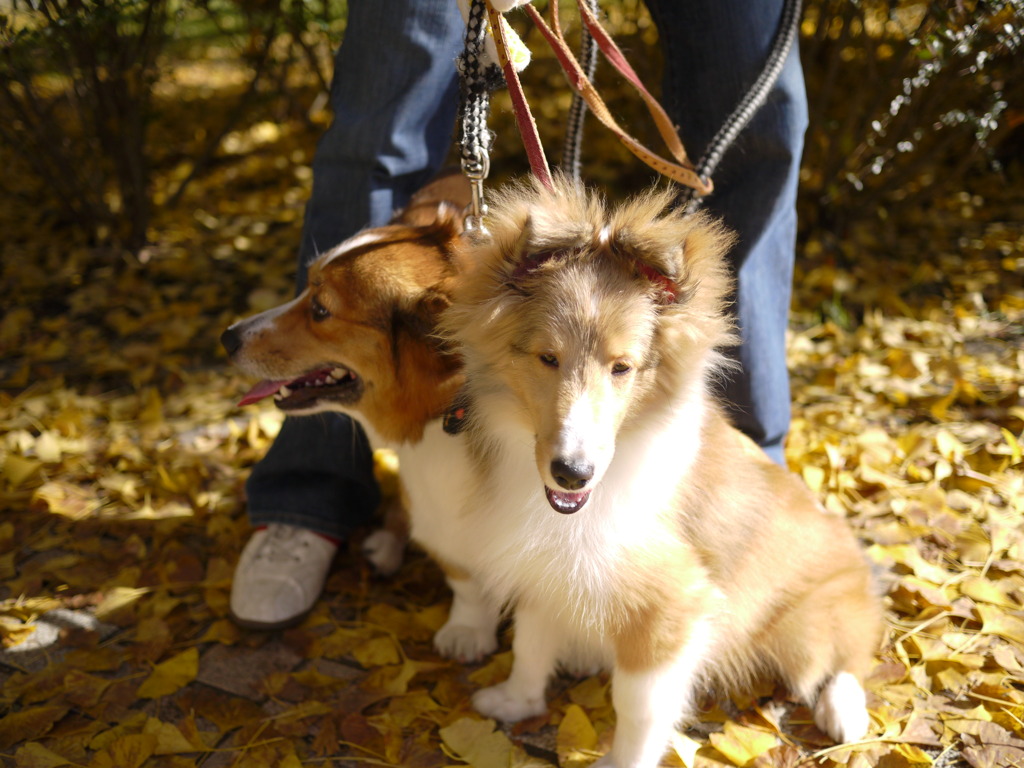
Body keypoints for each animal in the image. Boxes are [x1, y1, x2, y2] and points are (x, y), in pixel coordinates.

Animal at [436, 179, 884, 768]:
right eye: (547, 358)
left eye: (622, 367)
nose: (572, 474)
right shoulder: (543, 570)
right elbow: (529, 645)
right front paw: (515, 702)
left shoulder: (672, 609)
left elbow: (639, 708)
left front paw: (621, 760)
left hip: (813, 621)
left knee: (848, 656)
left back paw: (845, 715)